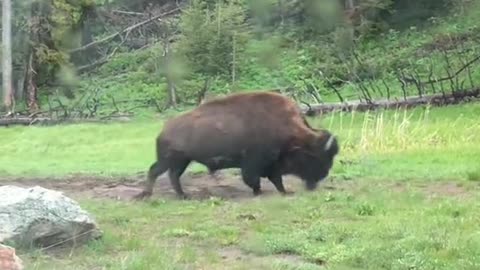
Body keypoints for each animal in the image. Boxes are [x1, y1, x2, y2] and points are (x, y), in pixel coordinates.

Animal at [133, 90, 340, 198]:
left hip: (181, 161)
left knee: (172, 175)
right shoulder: (255, 162)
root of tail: (164, 130)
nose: (323, 175)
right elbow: (254, 178)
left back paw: (182, 195)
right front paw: (259, 192)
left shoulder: (272, 165)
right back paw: (148, 194)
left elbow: (276, 179)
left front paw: (284, 192)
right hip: (170, 160)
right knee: (156, 171)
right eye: (317, 156)